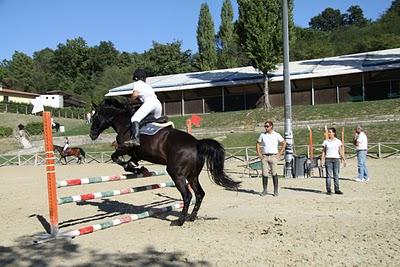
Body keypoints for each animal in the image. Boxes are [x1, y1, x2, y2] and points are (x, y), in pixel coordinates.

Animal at [90, 99, 241, 227]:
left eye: (94, 116)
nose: (92, 134)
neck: (125, 123)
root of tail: (197, 143)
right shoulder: (137, 154)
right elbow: (132, 161)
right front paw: (139, 169)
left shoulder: (124, 147)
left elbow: (115, 157)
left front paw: (131, 167)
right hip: (192, 176)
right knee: (199, 194)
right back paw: (191, 217)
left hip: (177, 174)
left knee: (187, 196)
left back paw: (179, 221)